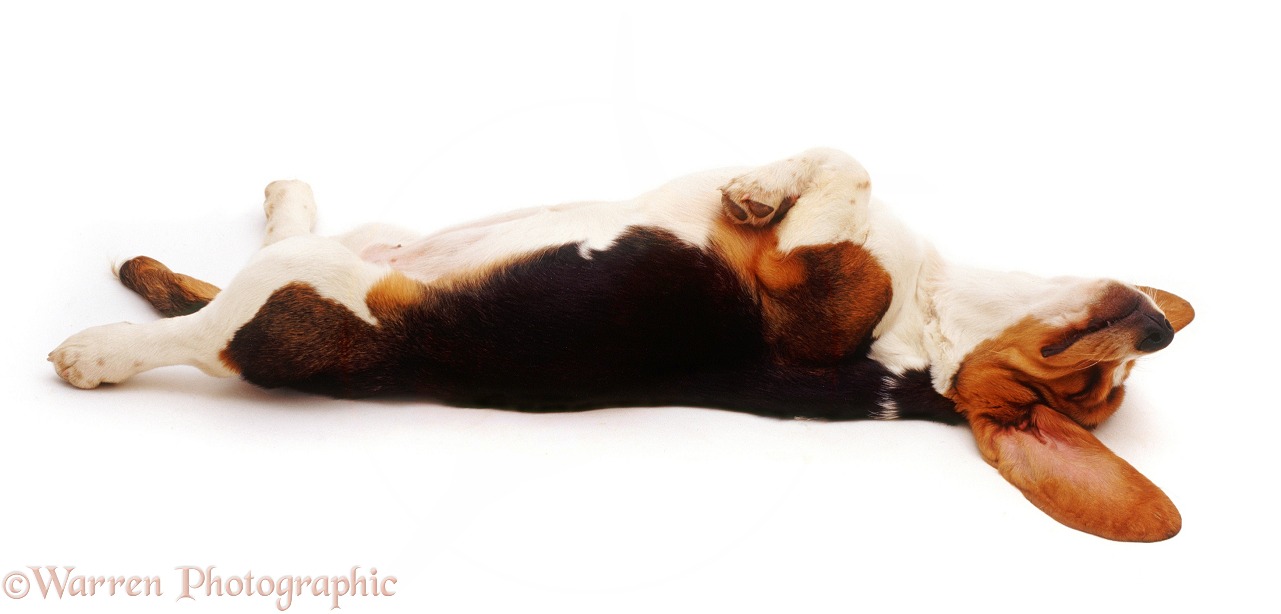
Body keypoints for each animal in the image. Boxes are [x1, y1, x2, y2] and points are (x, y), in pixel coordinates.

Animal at [47, 149, 1188, 543]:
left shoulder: (817, 292)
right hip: (353, 248)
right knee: (253, 262)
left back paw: (99, 349)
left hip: (299, 297)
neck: (929, 336)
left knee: (208, 332)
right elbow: (838, 161)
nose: (1158, 324)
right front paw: (759, 181)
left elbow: (844, 164)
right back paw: (273, 205)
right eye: (1095, 369)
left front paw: (759, 188)